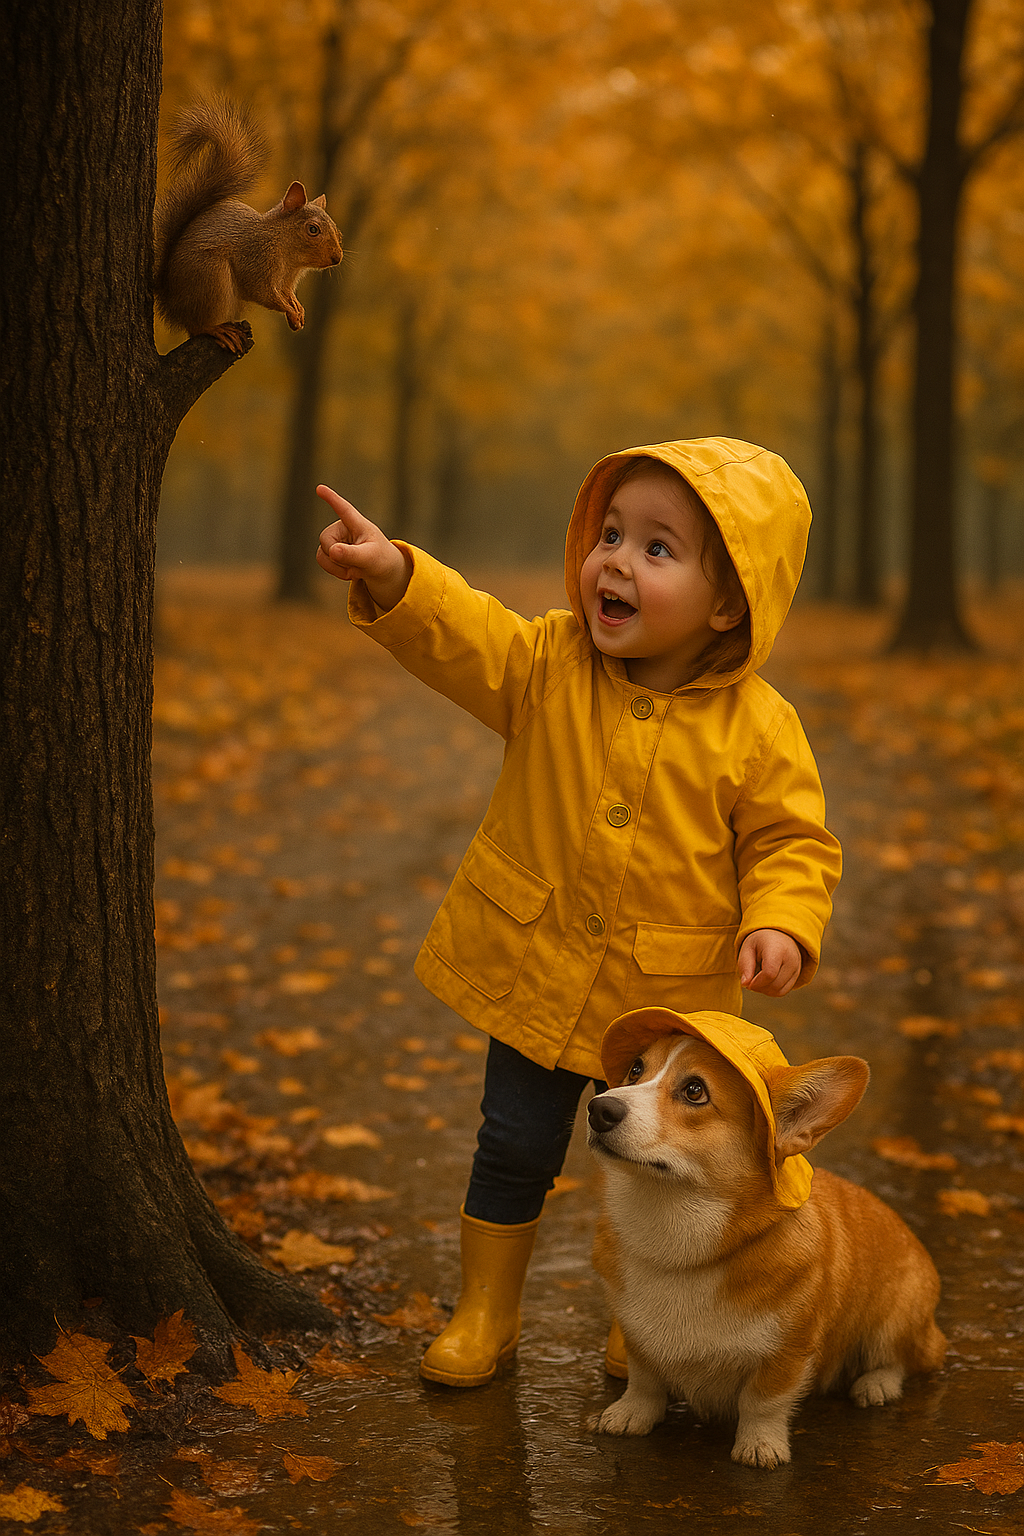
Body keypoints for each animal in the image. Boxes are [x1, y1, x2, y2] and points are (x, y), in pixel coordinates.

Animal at [153, 98, 343, 355]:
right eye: (313, 230)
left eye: (337, 230)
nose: (337, 258)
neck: (288, 254)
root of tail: (171, 302)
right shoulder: (256, 261)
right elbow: (263, 293)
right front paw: (290, 311)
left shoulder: (286, 281)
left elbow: (286, 294)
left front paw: (298, 310)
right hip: (209, 278)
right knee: (197, 326)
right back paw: (217, 330)